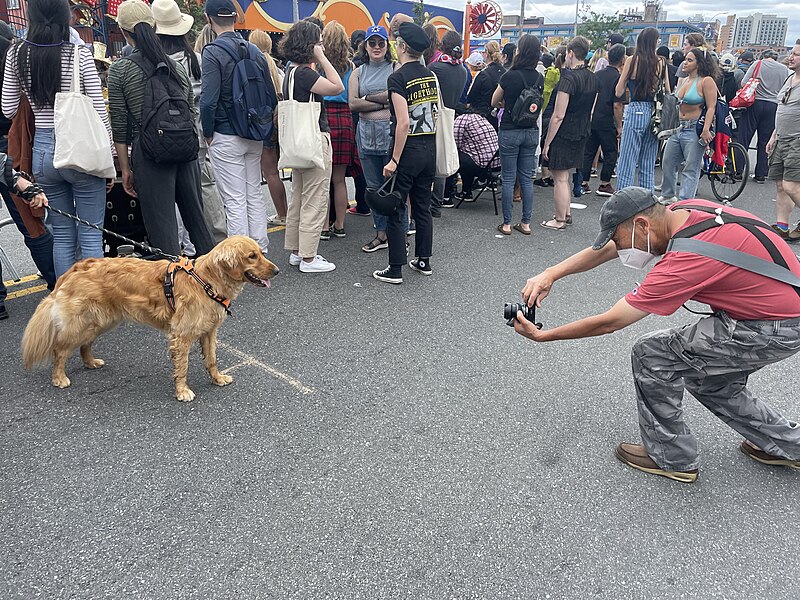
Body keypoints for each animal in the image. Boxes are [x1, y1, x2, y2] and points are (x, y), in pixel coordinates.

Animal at [21, 237, 280, 400]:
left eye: (260, 253)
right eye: (251, 256)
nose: (276, 271)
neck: (206, 280)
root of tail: (76, 267)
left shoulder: (209, 331)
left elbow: (212, 360)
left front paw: (217, 379)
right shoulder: (181, 336)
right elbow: (183, 367)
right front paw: (182, 391)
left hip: (100, 321)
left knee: (85, 345)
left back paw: (91, 362)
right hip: (82, 323)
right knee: (60, 350)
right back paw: (59, 377)